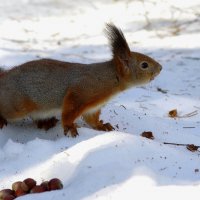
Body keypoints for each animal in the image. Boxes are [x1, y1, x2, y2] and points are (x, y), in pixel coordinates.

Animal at [0, 23, 161, 136]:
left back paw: (46, 122)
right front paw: (69, 126)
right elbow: (69, 111)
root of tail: (4, 77)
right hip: (16, 106)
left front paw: (102, 126)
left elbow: (91, 119)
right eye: (144, 65)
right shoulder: (82, 91)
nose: (160, 68)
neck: (110, 78)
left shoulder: (93, 106)